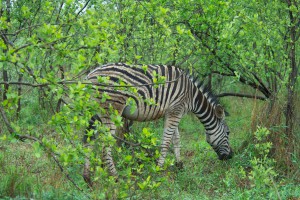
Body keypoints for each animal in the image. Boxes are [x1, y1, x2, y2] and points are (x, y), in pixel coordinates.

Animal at [82, 63, 234, 185]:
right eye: (228, 133)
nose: (231, 156)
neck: (192, 96)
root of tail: (90, 75)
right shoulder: (175, 111)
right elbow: (166, 142)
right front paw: (158, 169)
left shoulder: (173, 112)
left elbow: (176, 139)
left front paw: (179, 165)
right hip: (111, 110)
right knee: (105, 144)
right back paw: (115, 177)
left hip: (95, 112)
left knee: (88, 139)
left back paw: (87, 178)